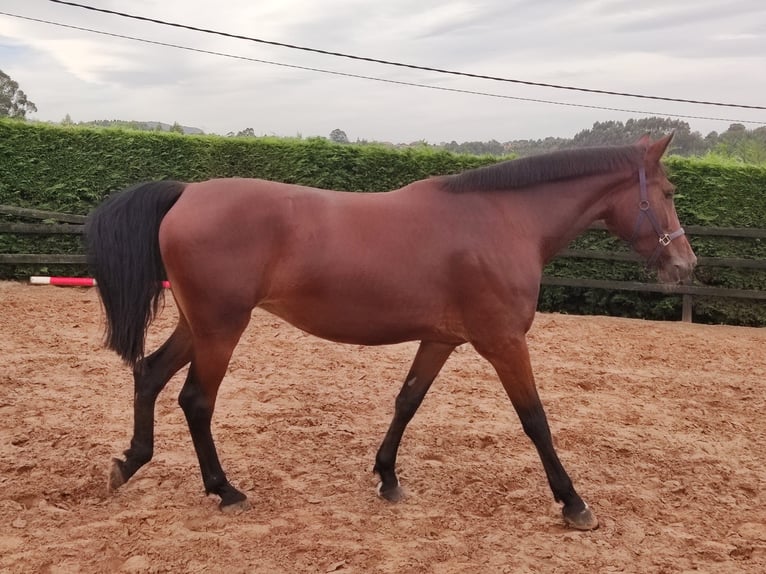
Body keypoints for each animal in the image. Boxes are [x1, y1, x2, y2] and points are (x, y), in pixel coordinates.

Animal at [85, 133, 696, 531]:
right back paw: (225, 490)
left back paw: (130, 462)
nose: (685, 265)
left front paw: (386, 477)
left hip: (199, 324)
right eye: (668, 193)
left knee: (150, 375)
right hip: (221, 327)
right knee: (195, 400)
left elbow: (407, 401)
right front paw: (573, 504)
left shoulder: (441, 339)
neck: (500, 221)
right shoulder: (503, 343)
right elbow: (536, 421)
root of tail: (187, 192)